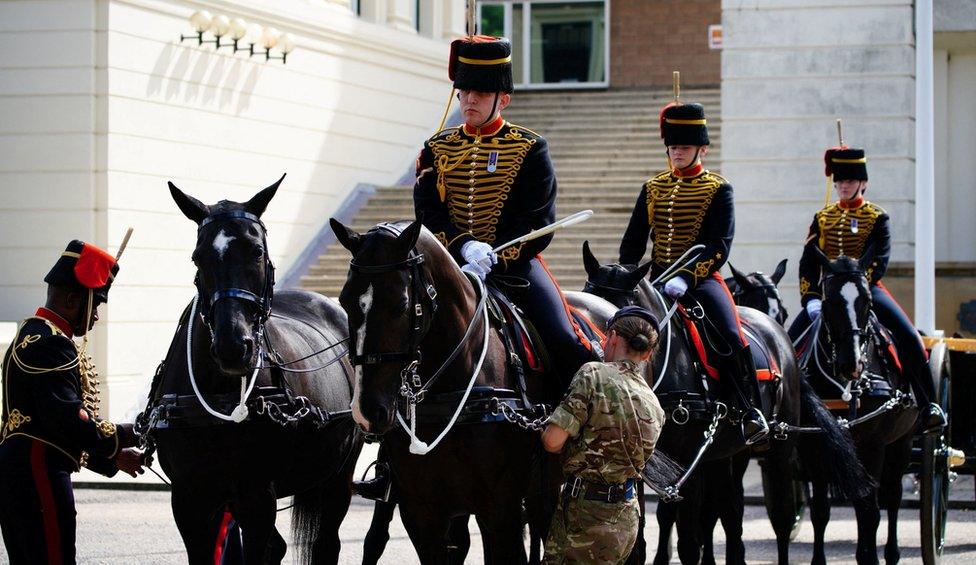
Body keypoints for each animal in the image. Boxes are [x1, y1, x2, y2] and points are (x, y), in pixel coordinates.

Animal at [140, 182, 362, 564]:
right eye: (198, 257)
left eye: (257, 251)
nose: (233, 346)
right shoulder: (189, 499)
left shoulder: (257, 495)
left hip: (337, 477)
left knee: (325, 542)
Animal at [576, 245, 864, 564]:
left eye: (613, 313)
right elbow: (639, 538)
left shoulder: (687, 462)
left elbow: (689, 539)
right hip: (726, 453)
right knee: (730, 510)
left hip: (779, 451)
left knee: (781, 516)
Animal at [796, 251, 920, 564]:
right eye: (828, 301)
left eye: (868, 301)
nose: (852, 364)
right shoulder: (815, 446)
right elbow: (820, 510)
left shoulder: (874, 445)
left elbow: (870, 510)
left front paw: (869, 556)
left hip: (900, 444)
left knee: (892, 497)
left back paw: (891, 553)